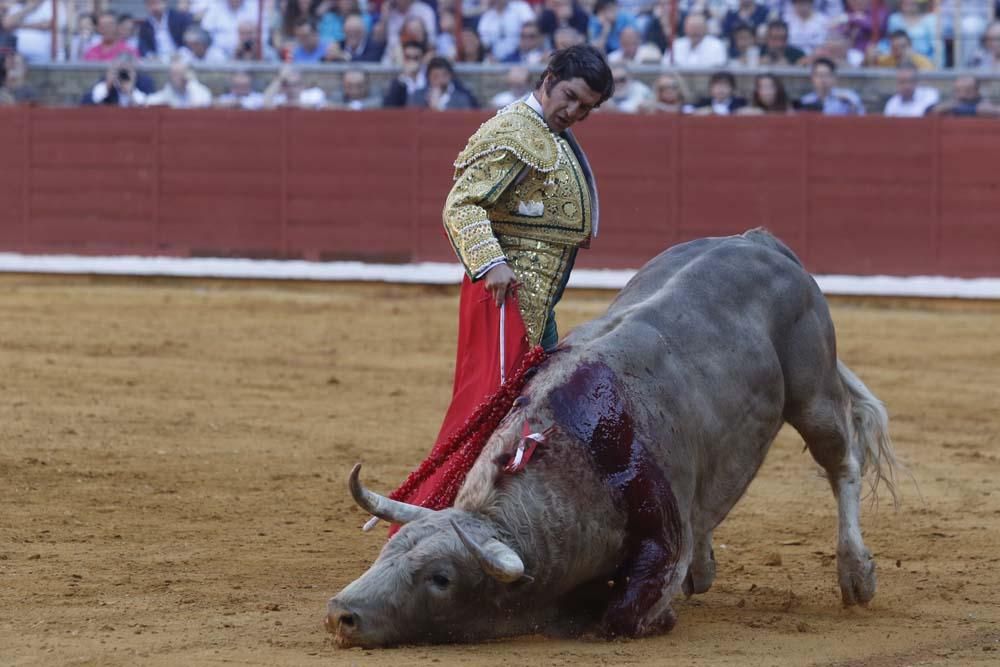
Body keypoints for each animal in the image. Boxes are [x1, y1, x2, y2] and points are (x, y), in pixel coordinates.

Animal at [324, 230, 896, 648]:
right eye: (389, 552)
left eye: (441, 578)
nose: (340, 614)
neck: (578, 462)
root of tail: (762, 242)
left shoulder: (662, 535)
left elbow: (622, 615)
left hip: (813, 393)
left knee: (841, 464)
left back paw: (856, 575)